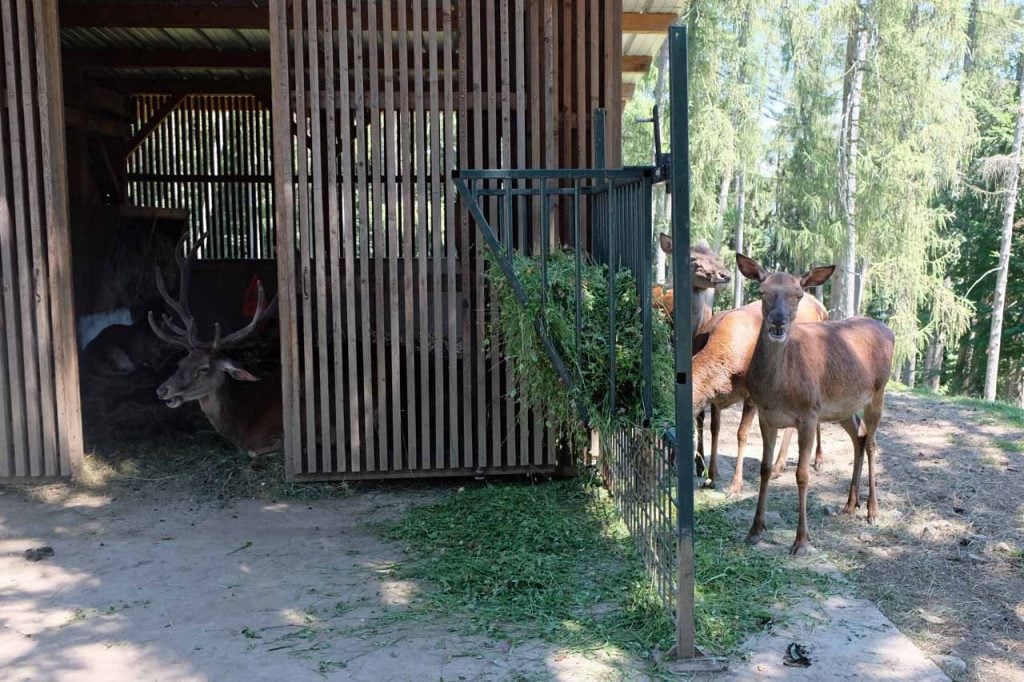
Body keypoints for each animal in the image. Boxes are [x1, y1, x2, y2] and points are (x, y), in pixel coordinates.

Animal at [737, 251, 897, 557]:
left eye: (798, 295)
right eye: (762, 292)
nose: (778, 322)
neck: (777, 389)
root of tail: (889, 331)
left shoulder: (809, 414)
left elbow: (801, 474)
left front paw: (801, 541)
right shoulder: (766, 415)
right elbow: (764, 468)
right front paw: (754, 530)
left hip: (878, 390)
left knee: (872, 442)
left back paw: (872, 510)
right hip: (843, 407)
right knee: (859, 437)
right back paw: (850, 504)